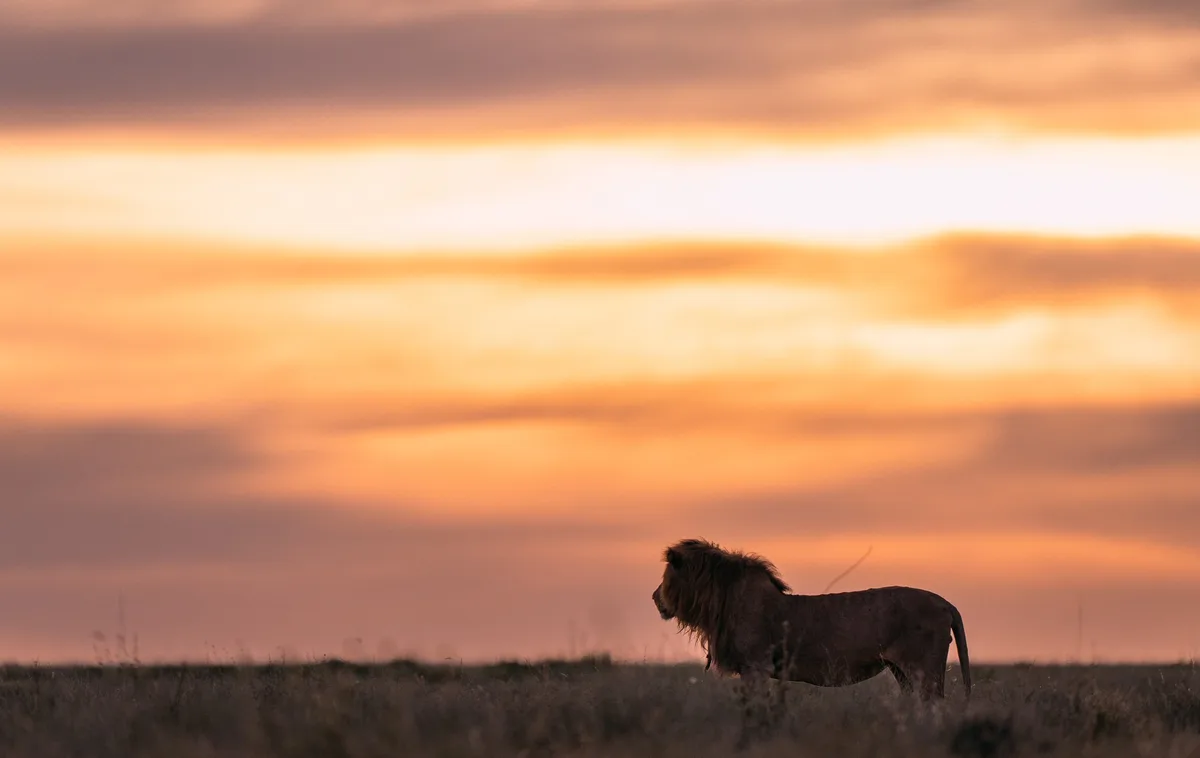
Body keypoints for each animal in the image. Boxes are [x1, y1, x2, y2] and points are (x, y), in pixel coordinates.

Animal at [651, 538, 971, 700]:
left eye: (666, 575)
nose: (655, 598)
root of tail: (946, 603)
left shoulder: (756, 667)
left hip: (925, 669)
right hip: (901, 671)